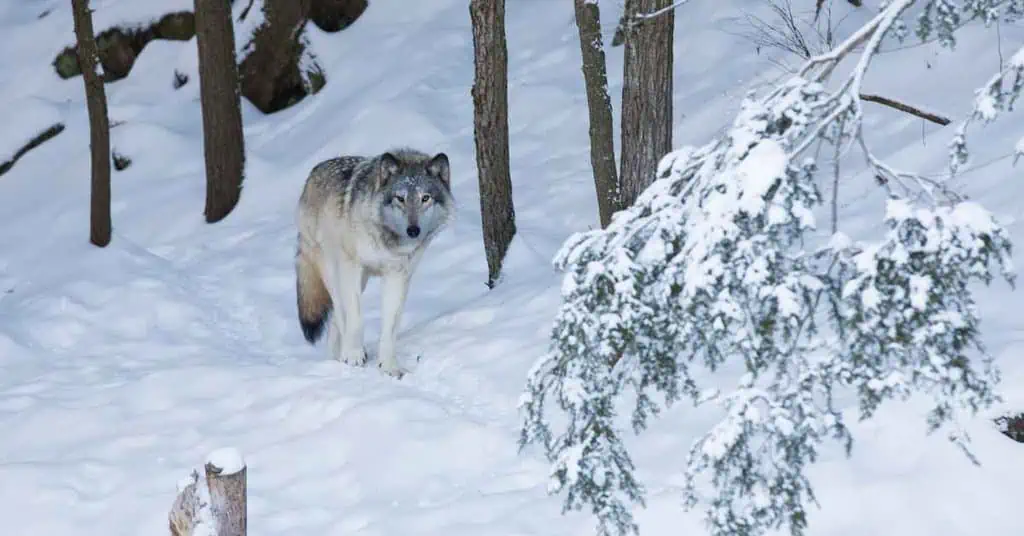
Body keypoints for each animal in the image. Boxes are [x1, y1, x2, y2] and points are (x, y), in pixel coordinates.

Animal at [290, 147, 454, 377]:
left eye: (425, 198)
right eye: (400, 198)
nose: (413, 230)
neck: (388, 240)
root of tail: (313, 173)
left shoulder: (397, 275)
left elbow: (390, 327)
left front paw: (389, 366)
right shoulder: (352, 267)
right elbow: (355, 318)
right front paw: (354, 355)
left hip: (362, 281)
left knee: (334, 321)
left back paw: (336, 357)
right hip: (333, 270)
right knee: (340, 311)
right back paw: (347, 353)